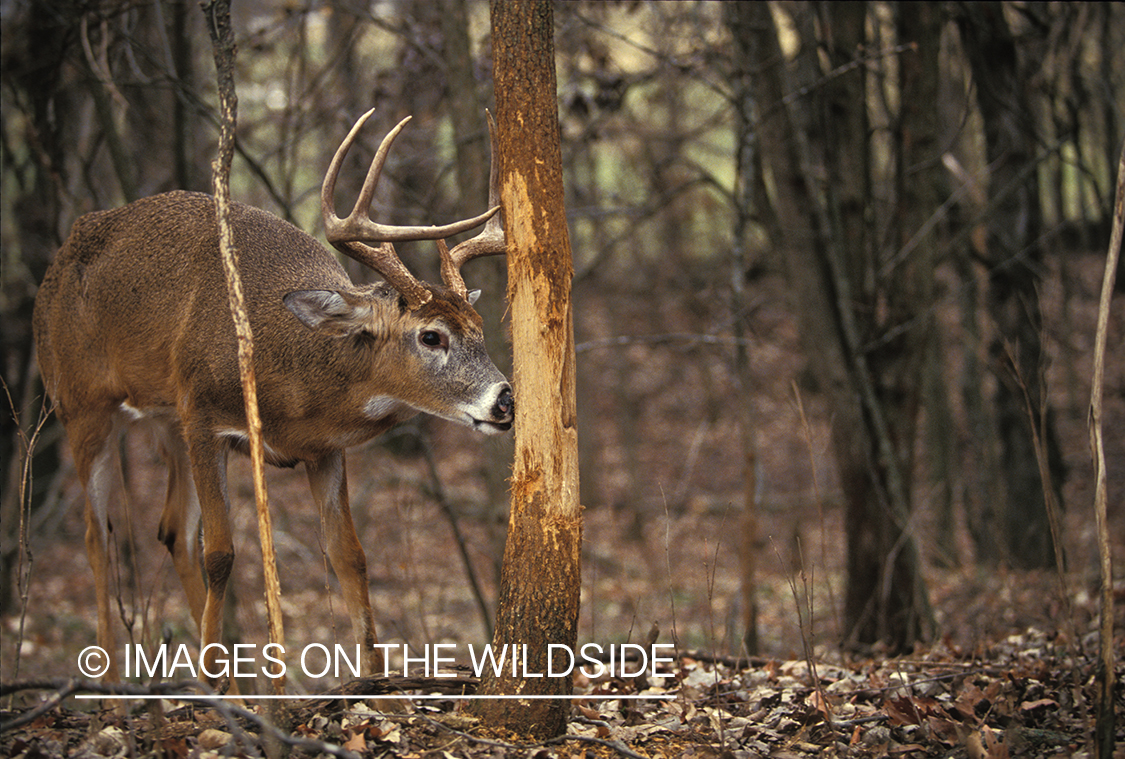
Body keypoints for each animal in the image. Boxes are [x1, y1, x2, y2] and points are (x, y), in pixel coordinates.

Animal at [34, 108, 510, 683]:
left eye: (479, 328)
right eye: (431, 336)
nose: (505, 400)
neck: (295, 387)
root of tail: (57, 259)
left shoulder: (322, 450)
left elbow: (350, 555)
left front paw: (372, 679)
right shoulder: (205, 417)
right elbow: (221, 553)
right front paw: (228, 687)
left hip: (166, 419)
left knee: (171, 530)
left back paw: (218, 682)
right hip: (80, 405)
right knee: (97, 535)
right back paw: (113, 681)